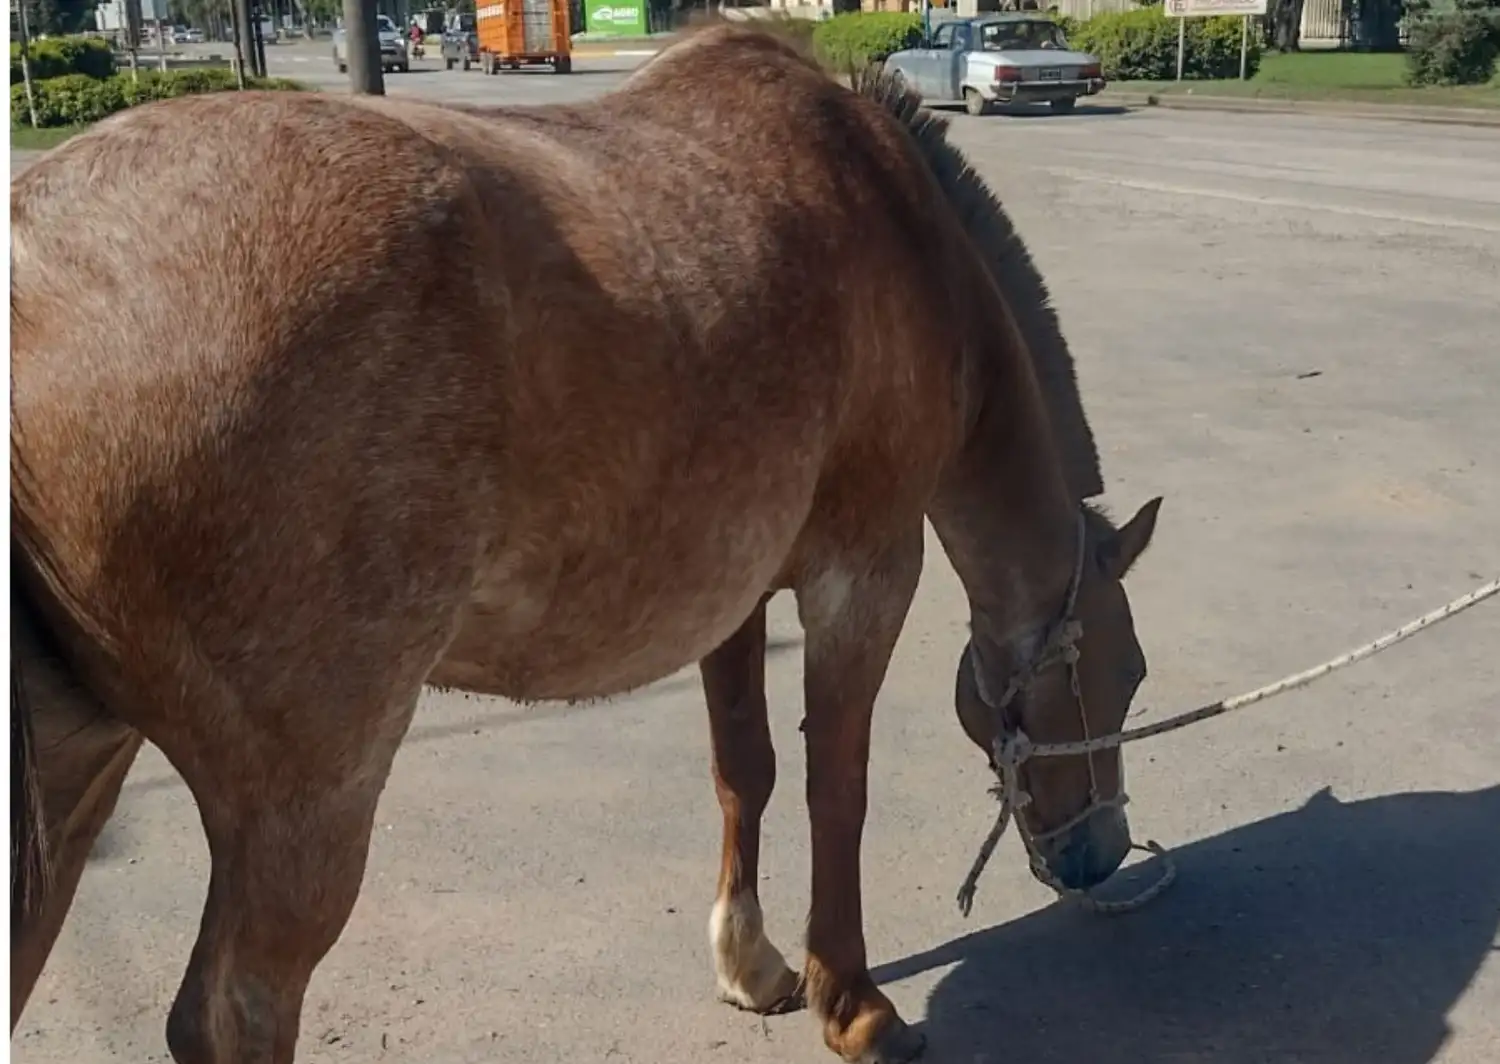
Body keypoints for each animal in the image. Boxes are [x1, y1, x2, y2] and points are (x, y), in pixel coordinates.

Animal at [9, 25, 1161, 1064]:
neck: (902, 233)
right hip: (304, 794)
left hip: (76, 764)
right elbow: (837, 784)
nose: (1102, 852)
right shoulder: (865, 572)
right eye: (1122, 671)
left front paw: (752, 962)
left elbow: (745, 769)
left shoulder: (734, 589)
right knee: (234, 1015)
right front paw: (856, 1004)